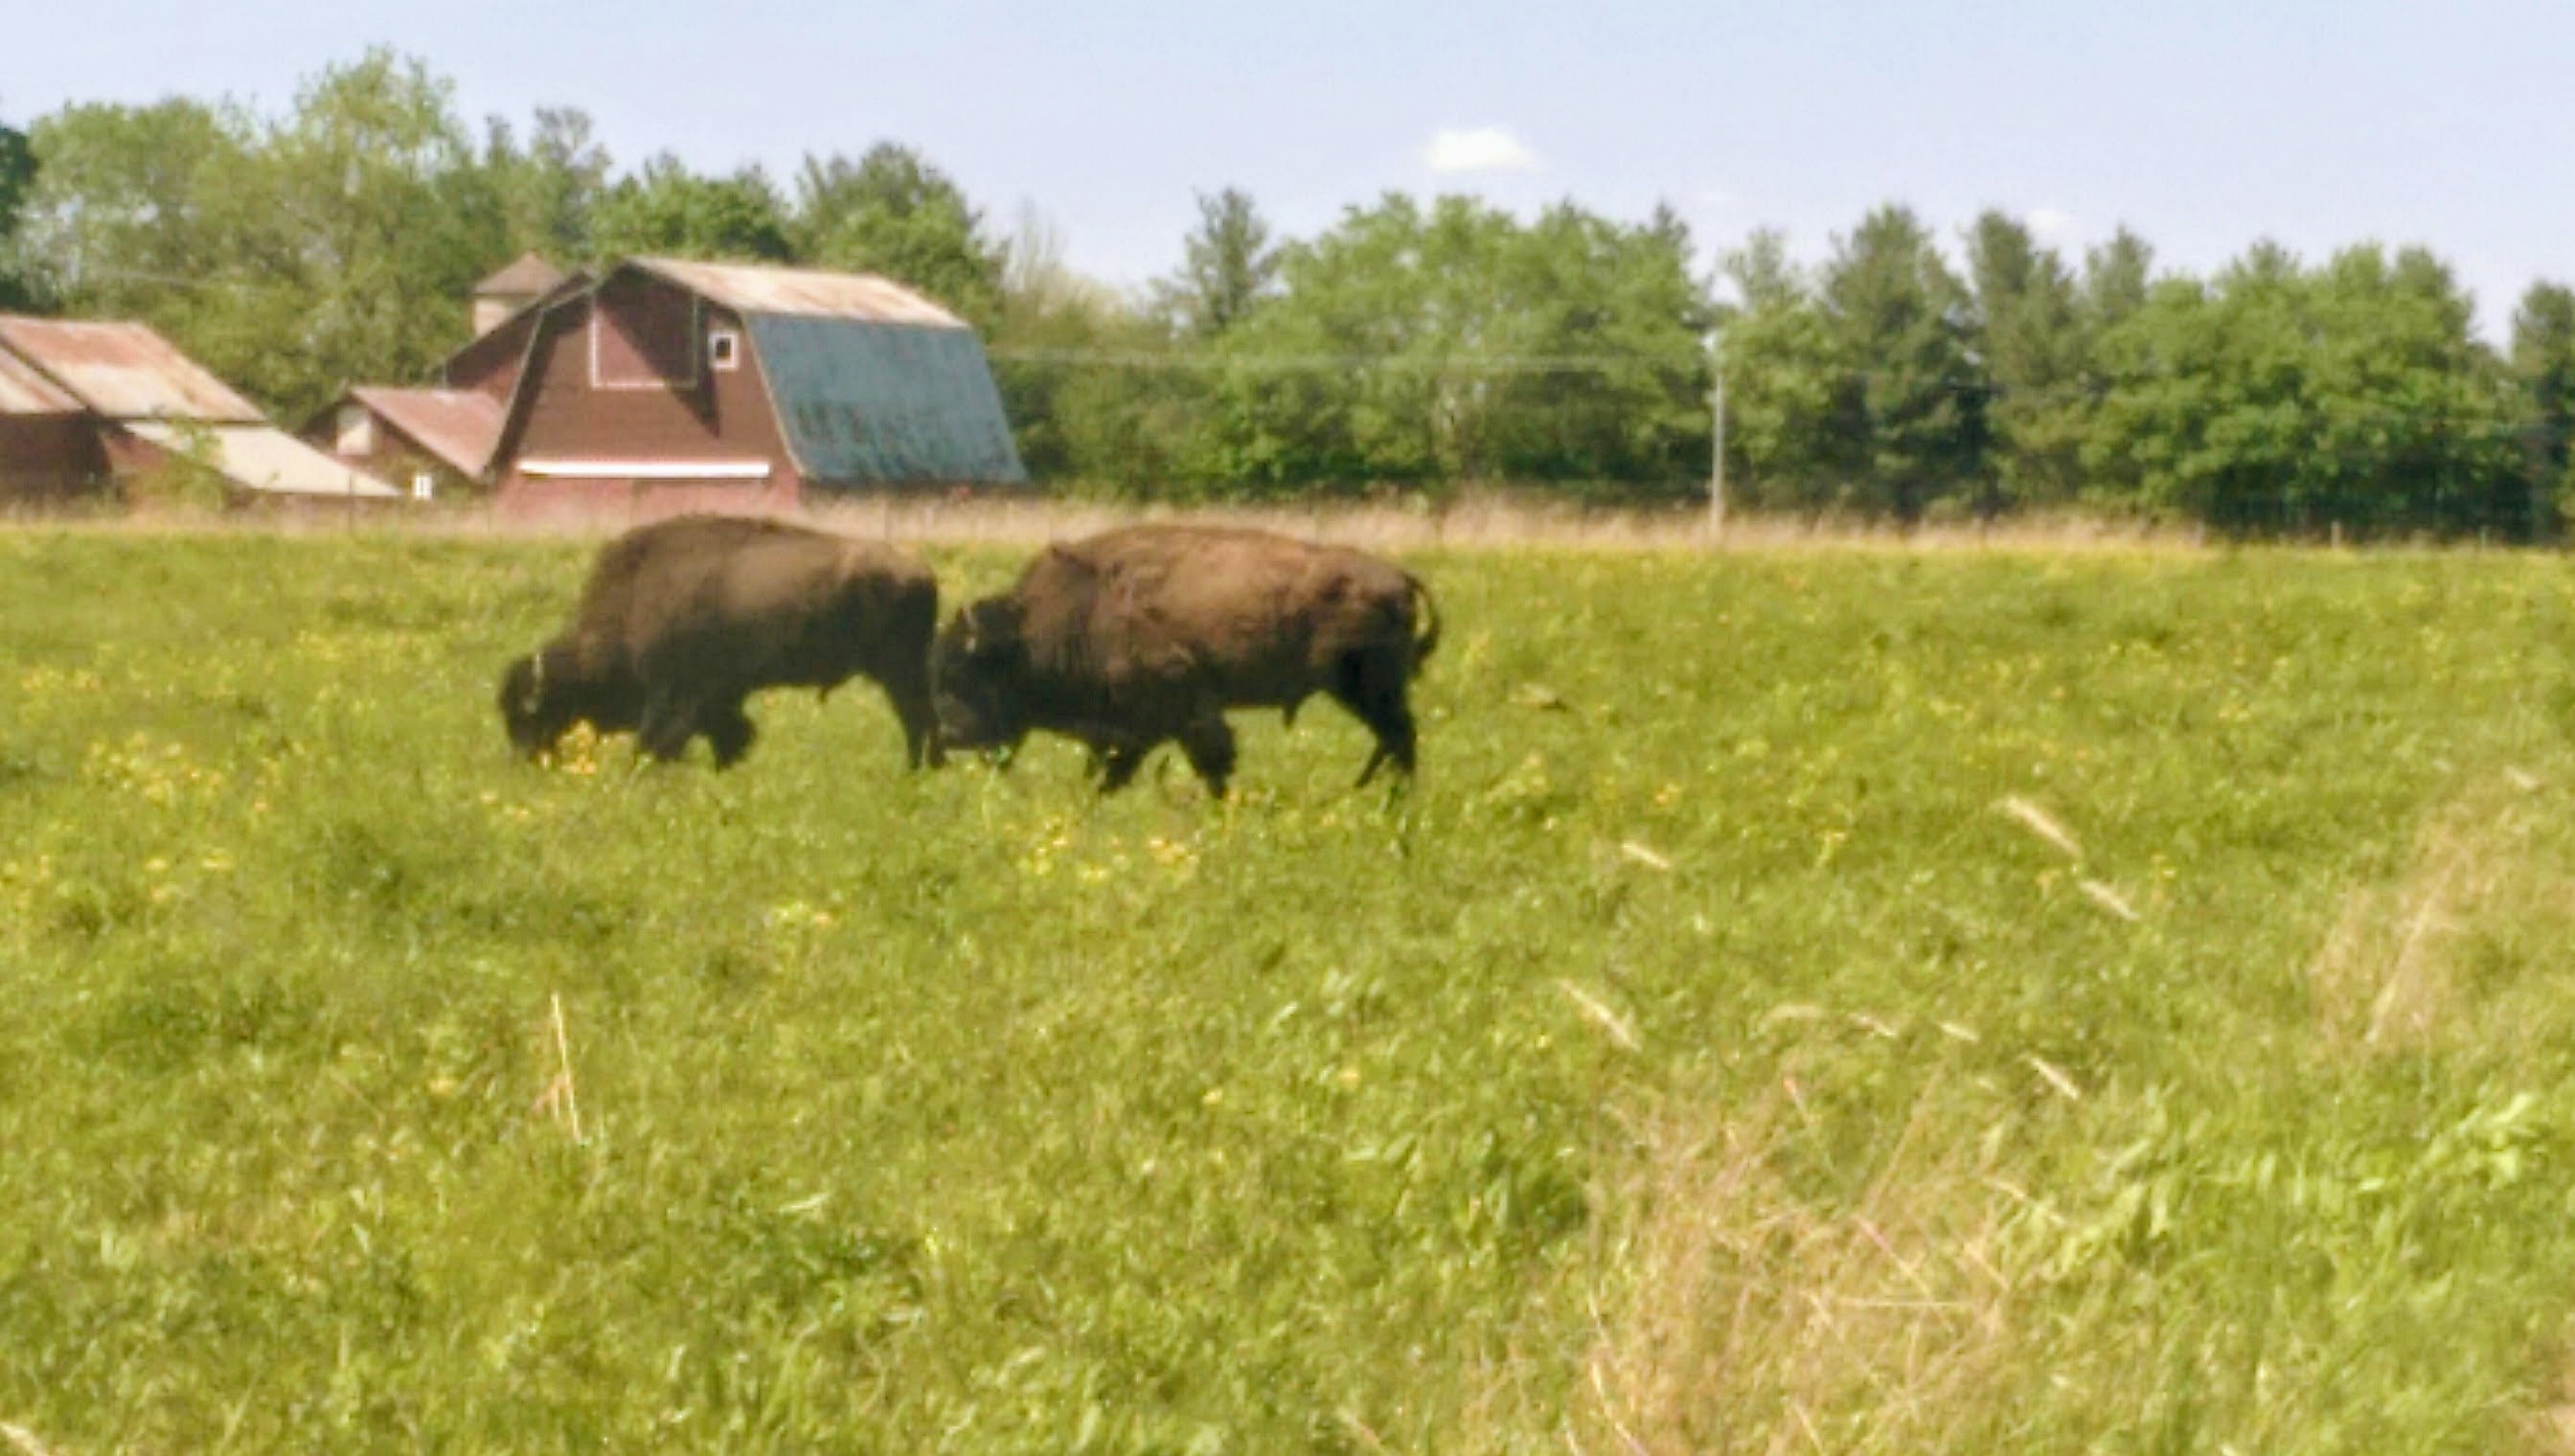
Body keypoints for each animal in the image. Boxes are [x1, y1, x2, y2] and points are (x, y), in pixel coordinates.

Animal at [499, 513, 942, 769]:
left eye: (530, 714)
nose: (526, 761)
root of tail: (920, 572)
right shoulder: (719, 699)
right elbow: (733, 737)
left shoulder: (675, 698)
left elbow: (657, 743)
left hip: (898, 671)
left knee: (916, 719)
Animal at [931, 524, 1438, 796]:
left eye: (962, 674)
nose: (949, 735)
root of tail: (1399, 576)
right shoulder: (1136, 730)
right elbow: (1113, 775)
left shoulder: (1184, 711)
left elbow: (1211, 762)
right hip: (1360, 691)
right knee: (1393, 739)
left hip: (1365, 686)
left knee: (1399, 737)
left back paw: (1391, 797)